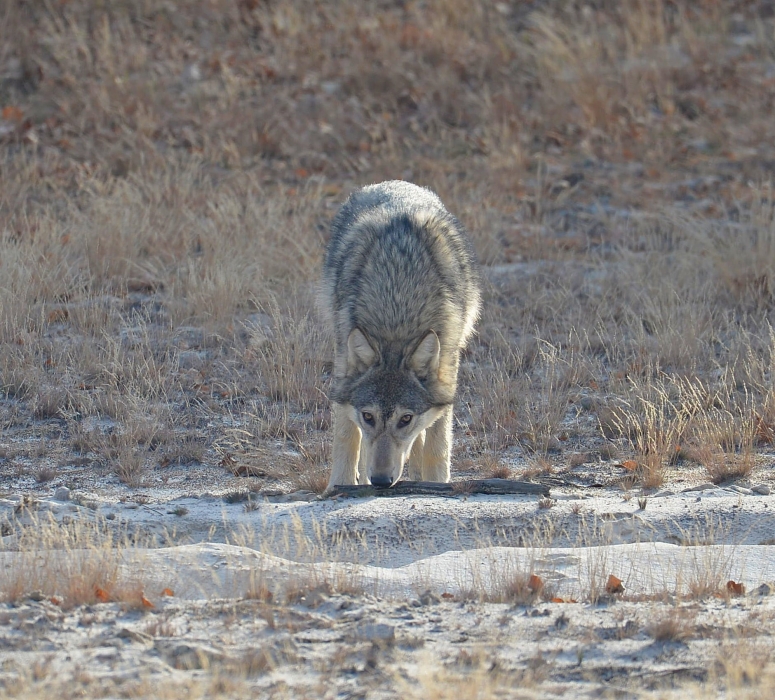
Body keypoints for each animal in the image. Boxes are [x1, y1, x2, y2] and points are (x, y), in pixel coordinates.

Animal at [320, 179, 478, 486]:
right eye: (368, 417)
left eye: (405, 419)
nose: (381, 481)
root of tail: (394, 182)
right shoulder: (343, 366)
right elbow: (346, 438)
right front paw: (340, 485)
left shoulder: (447, 371)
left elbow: (437, 445)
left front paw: (436, 484)